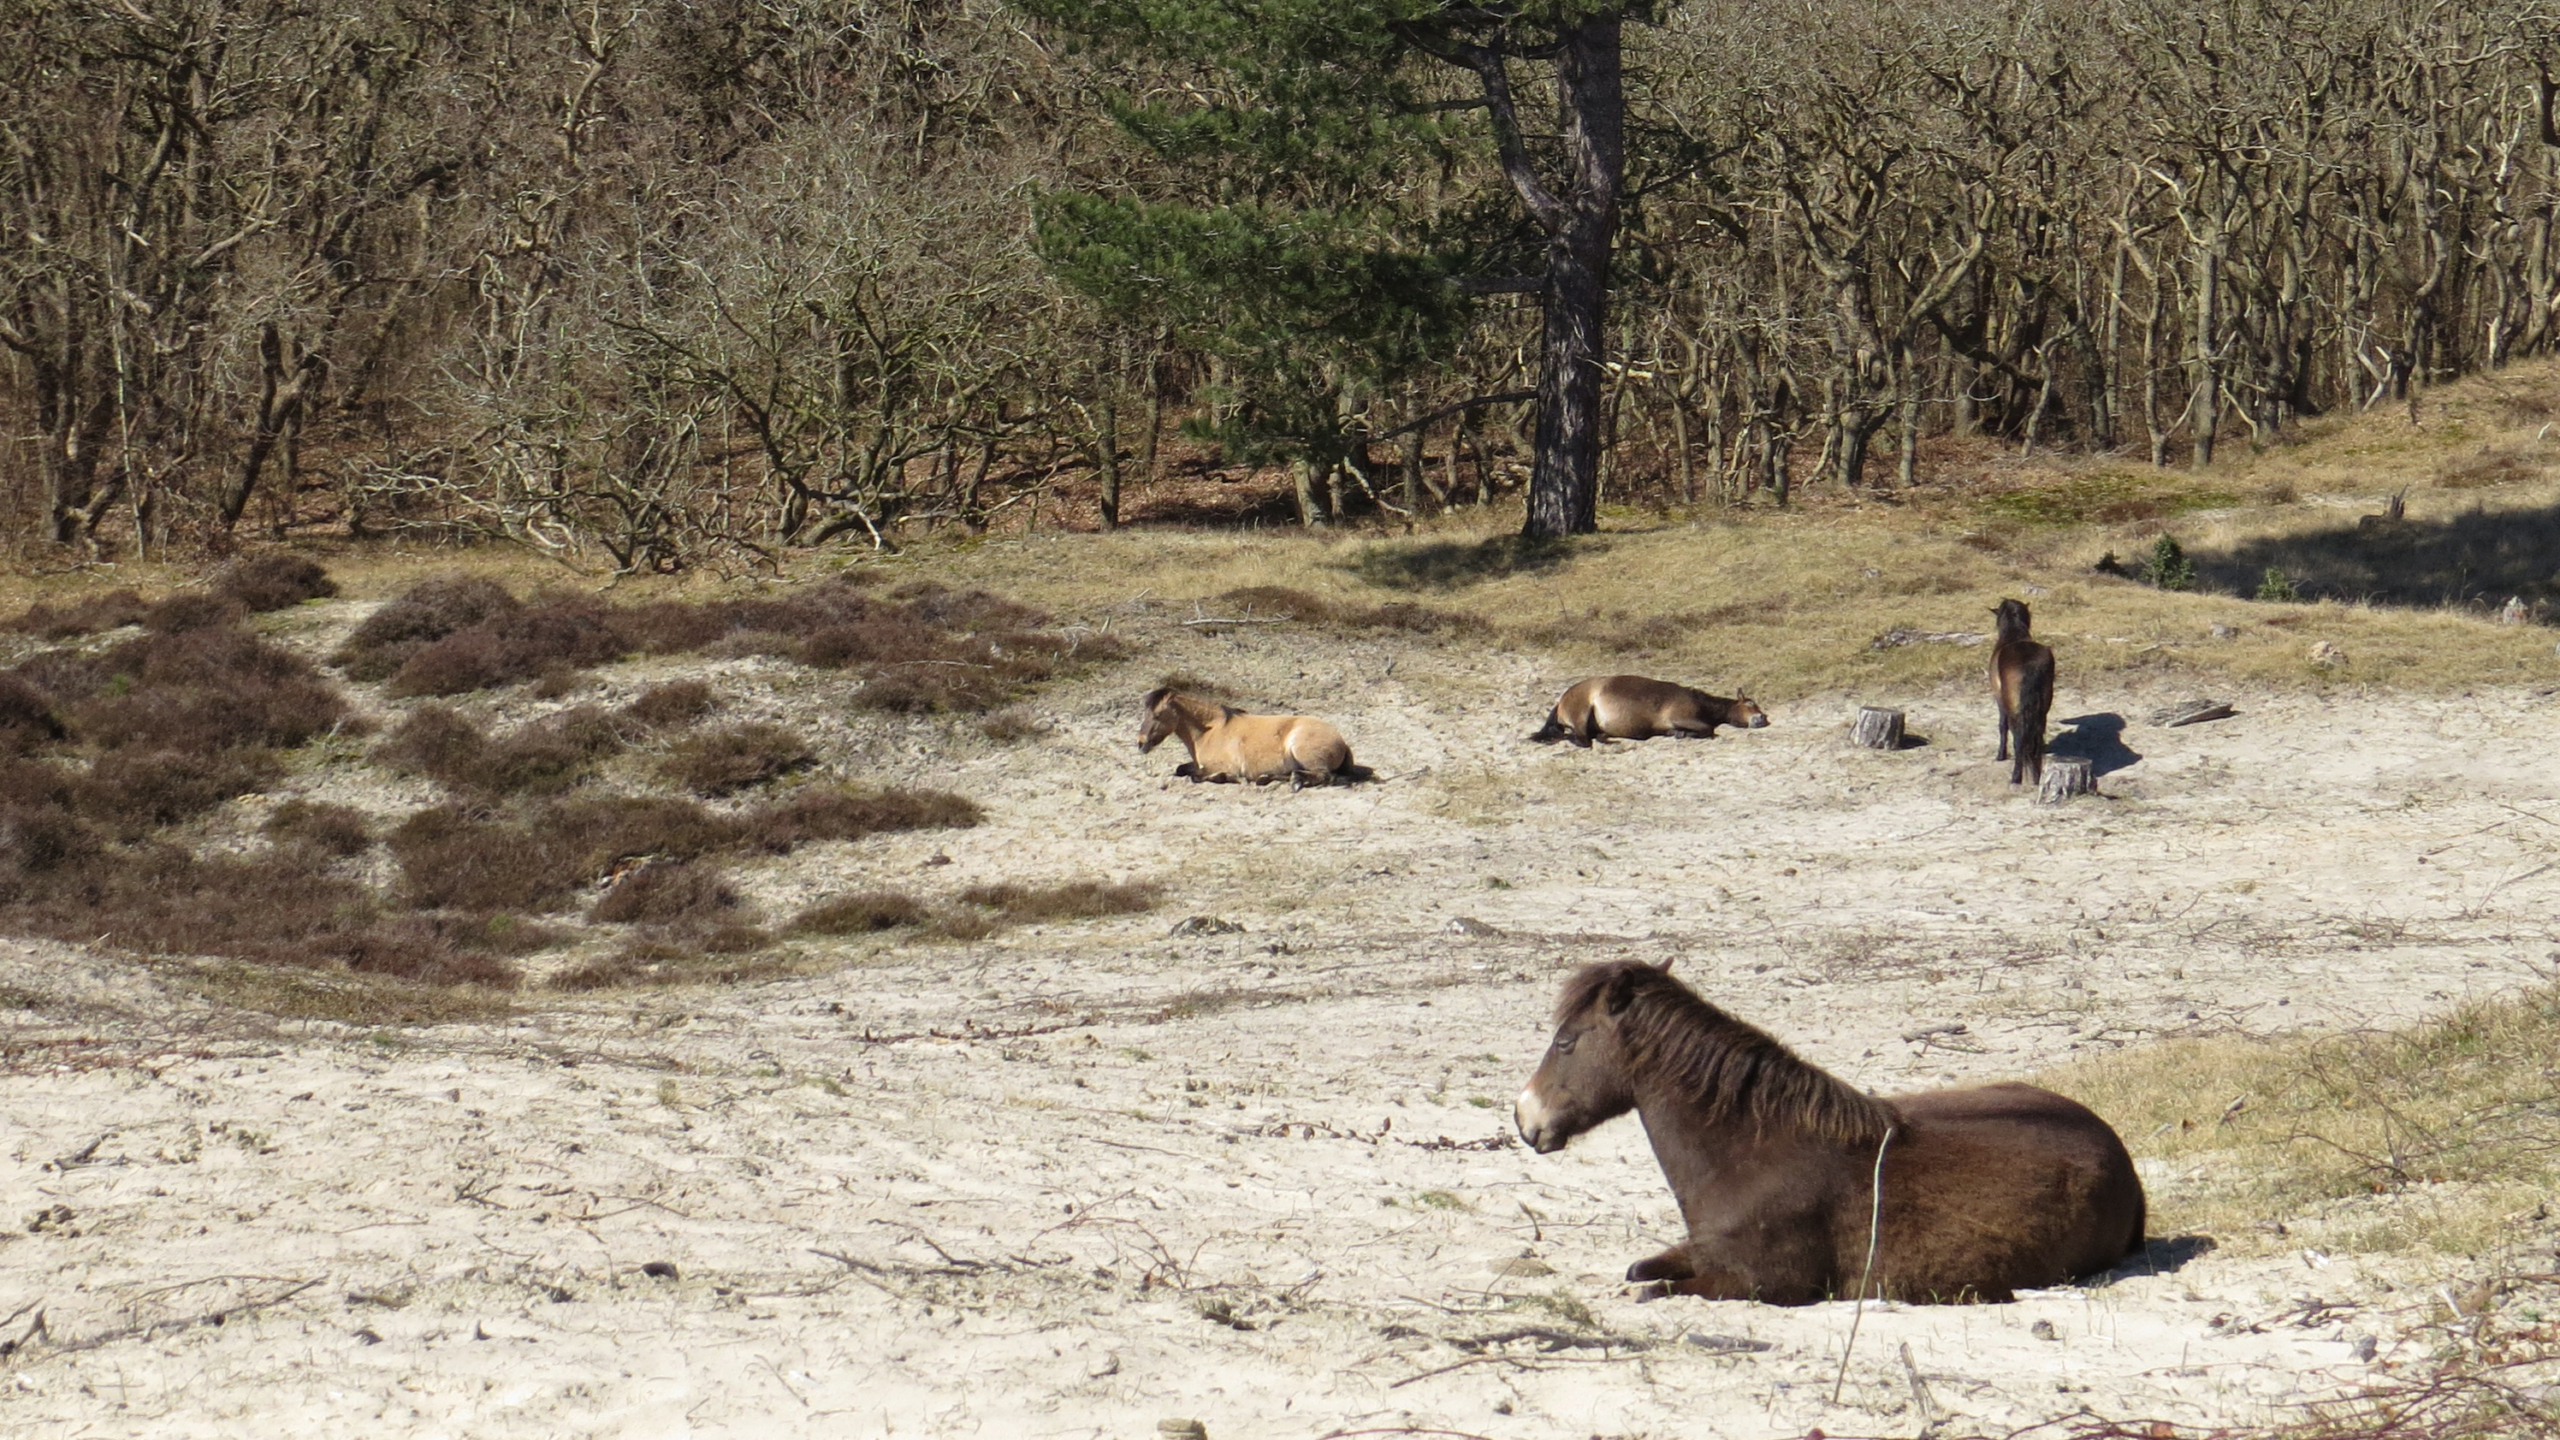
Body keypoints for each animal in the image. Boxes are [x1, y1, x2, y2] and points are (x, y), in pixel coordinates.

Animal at [1137, 688, 1365, 789]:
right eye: (1144, 712)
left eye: (1157, 715)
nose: (1140, 743)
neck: (1209, 732)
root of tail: (1342, 742)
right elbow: (1182, 769)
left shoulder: (1219, 766)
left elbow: (1198, 776)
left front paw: (1227, 778)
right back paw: (1267, 778)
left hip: (1301, 750)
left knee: (1324, 776)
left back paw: (1297, 781)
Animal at [1514, 960, 2145, 1305]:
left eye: (1566, 1041)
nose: (1525, 1120)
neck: (1749, 1153)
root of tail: (2120, 1155)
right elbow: (1640, 1271)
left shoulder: (1761, 1285)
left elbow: (1651, 1288)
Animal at [1529, 676, 1769, 747]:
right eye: (1750, 703)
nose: (1762, 718)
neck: (1699, 702)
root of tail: (1562, 700)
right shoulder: (1682, 716)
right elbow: (1709, 729)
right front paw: (1683, 734)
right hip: (1580, 715)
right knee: (1580, 739)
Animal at [1990, 598, 2055, 786]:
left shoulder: (1999, 699)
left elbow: (2002, 726)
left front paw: (2000, 755)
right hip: (2042, 710)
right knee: (2036, 740)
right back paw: (2036, 776)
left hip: (2015, 711)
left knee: (2019, 739)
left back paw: (2016, 777)